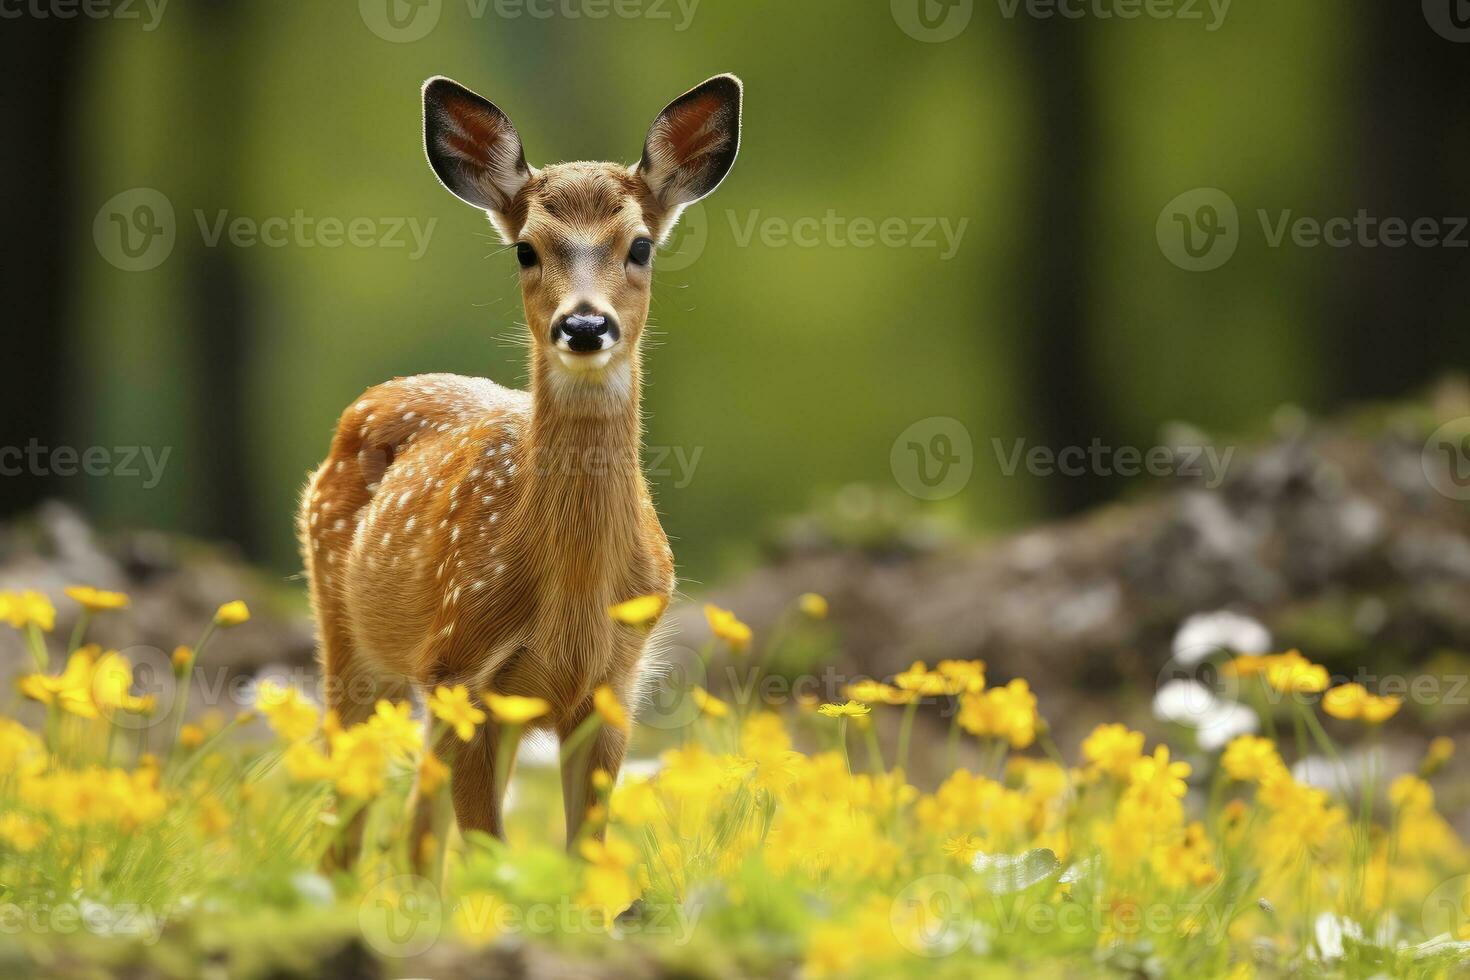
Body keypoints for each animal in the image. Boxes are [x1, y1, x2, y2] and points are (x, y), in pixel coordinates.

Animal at [298, 72, 740, 852]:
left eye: (641, 246)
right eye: (526, 251)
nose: (586, 324)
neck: (570, 598)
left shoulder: (611, 687)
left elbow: (580, 853)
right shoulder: (463, 670)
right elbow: (489, 853)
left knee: (415, 821)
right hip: (352, 642)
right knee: (348, 812)